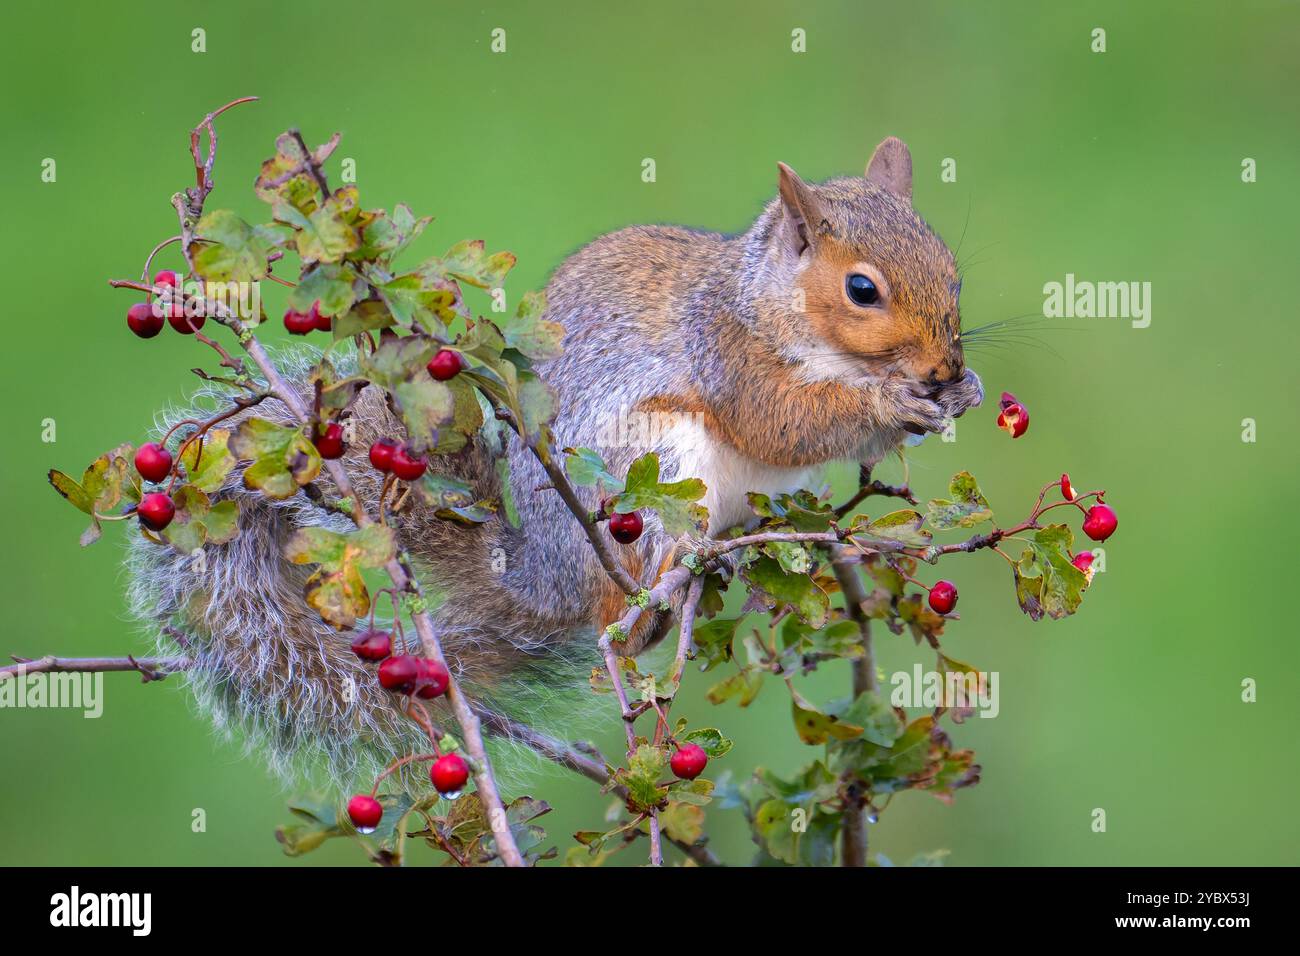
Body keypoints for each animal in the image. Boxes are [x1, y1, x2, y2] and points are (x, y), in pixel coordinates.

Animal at [127, 136, 983, 789]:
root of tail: (540, 577)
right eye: (861, 289)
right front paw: (889, 406)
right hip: (651, 464)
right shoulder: (727, 356)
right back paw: (664, 588)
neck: (771, 306)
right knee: (621, 611)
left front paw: (960, 393)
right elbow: (781, 423)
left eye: (953, 274)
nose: (944, 367)